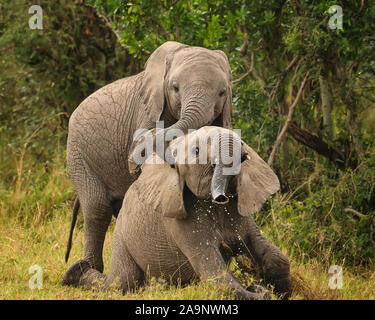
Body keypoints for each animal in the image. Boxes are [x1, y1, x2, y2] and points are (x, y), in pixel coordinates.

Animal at [61, 126, 292, 298]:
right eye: (197, 152)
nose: (221, 197)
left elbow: (275, 257)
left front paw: (279, 292)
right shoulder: (183, 220)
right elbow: (215, 273)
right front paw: (259, 291)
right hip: (122, 234)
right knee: (121, 283)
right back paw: (73, 273)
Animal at [65, 41, 234, 276]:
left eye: (222, 92)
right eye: (174, 88)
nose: (133, 160)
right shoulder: (146, 112)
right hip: (78, 154)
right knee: (97, 208)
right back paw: (90, 269)